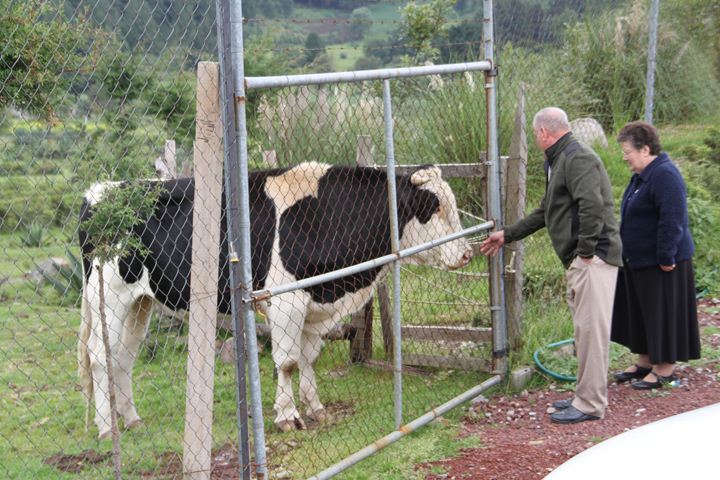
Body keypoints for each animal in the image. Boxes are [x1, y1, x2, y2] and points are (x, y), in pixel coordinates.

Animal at [79, 162, 472, 438]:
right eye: (434, 207)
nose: (467, 253)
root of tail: (102, 190)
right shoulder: (287, 303)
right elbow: (287, 362)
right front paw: (288, 416)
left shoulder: (316, 302)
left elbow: (309, 358)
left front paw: (315, 407)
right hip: (109, 297)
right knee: (99, 356)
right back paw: (106, 428)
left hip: (140, 302)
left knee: (123, 358)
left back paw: (132, 420)